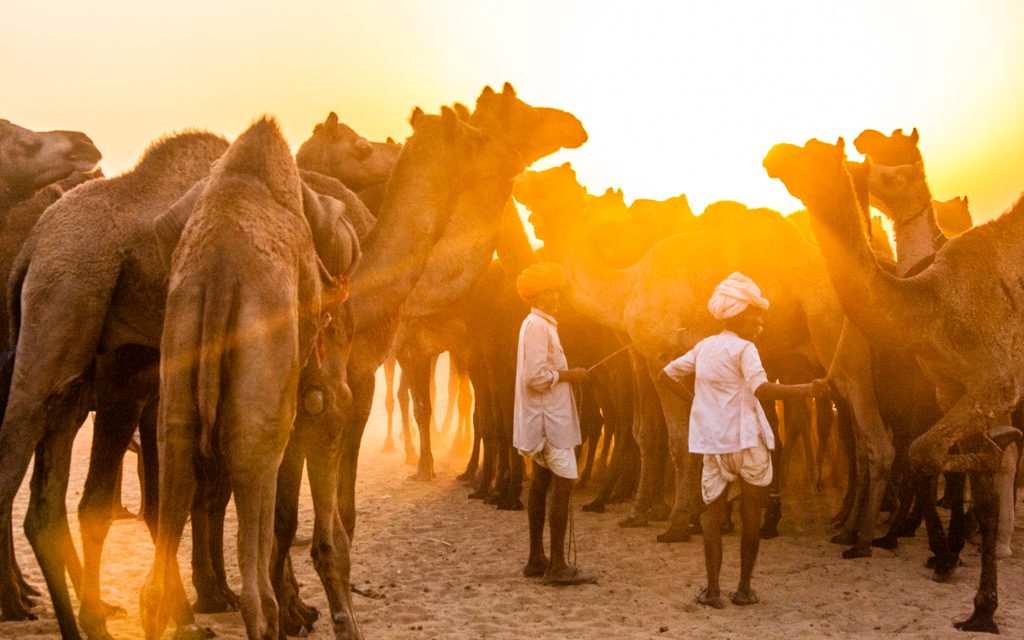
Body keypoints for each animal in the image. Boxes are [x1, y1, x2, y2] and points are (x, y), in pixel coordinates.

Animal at [764, 136, 1024, 633]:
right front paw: (982, 609)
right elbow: (973, 478)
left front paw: (939, 552)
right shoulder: (953, 387)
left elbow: (923, 453)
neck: (932, 307)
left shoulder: (993, 383)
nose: (774, 154)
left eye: (813, 153)